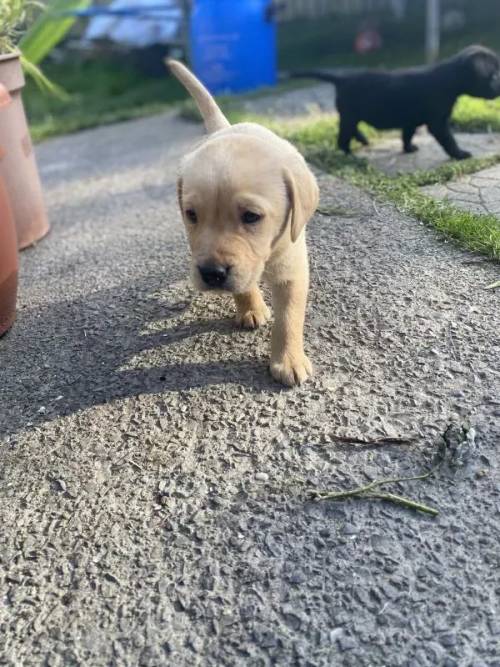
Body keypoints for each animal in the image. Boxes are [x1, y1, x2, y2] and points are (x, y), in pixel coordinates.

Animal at [167, 62, 316, 388]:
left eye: (251, 216)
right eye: (191, 214)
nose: (211, 274)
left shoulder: (292, 267)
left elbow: (289, 318)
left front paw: (289, 361)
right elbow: (244, 285)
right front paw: (251, 307)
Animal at [292, 46, 500, 160]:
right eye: (494, 76)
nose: (499, 87)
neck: (449, 79)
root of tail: (342, 78)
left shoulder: (412, 120)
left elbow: (407, 135)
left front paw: (408, 149)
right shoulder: (438, 122)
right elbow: (449, 140)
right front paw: (460, 154)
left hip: (351, 115)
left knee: (351, 129)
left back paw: (362, 140)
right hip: (350, 114)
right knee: (343, 137)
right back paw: (350, 154)